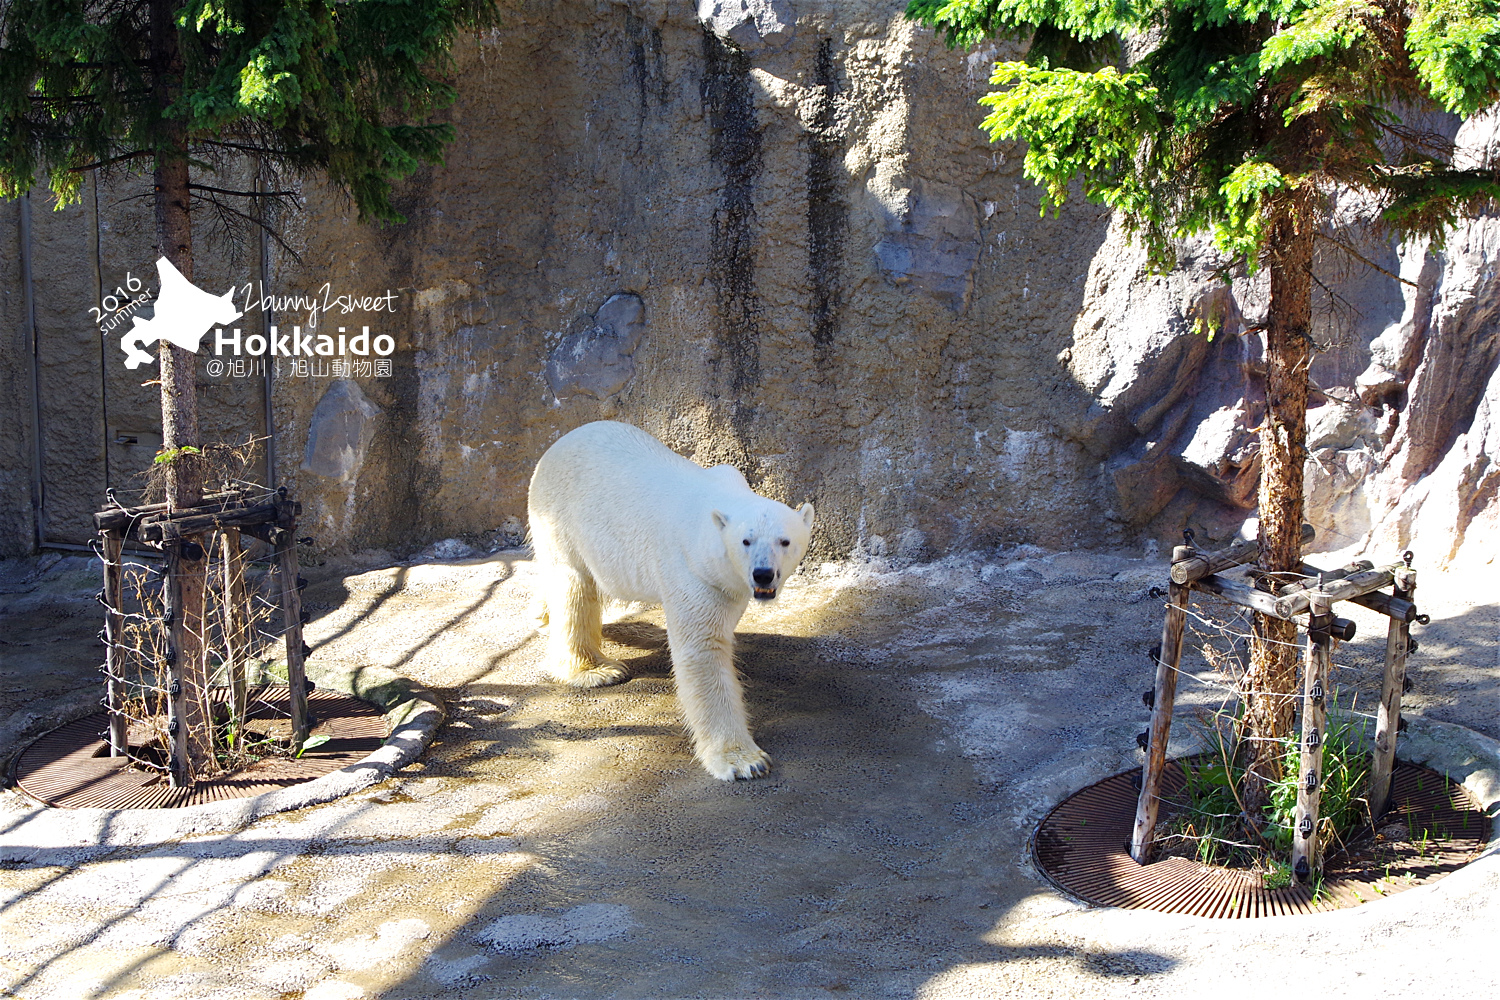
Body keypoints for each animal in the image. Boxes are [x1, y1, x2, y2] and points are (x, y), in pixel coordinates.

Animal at [525, 422, 810, 779]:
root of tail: (556, 445)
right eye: (746, 541)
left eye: (785, 541)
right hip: (561, 519)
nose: (762, 574)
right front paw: (745, 761)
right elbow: (702, 651)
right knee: (573, 586)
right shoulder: (694, 572)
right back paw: (596, 669)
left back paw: (540, 613)